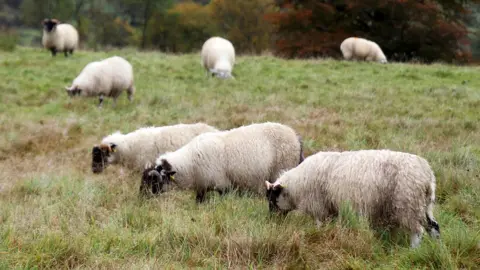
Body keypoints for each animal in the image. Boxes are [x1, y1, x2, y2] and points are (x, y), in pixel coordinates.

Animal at [141, 122, 304, 202]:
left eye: (153, 180)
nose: (141, 198)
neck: (189, 163)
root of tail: (296, 137)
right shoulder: (202, 185)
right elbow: (199, 201)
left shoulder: (222, 184)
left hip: (282, 168)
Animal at [264, 149, 440, 248]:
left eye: (272, 200)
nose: (272, 221)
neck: (296, 185)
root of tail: (426, 174)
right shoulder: (330, 207)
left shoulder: (318, 206)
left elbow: (319, 224)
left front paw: (317, 234)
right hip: (424, 205)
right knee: (434, 227)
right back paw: (437, 248)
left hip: (407, 204)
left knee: (418, 231)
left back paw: (414, 249)